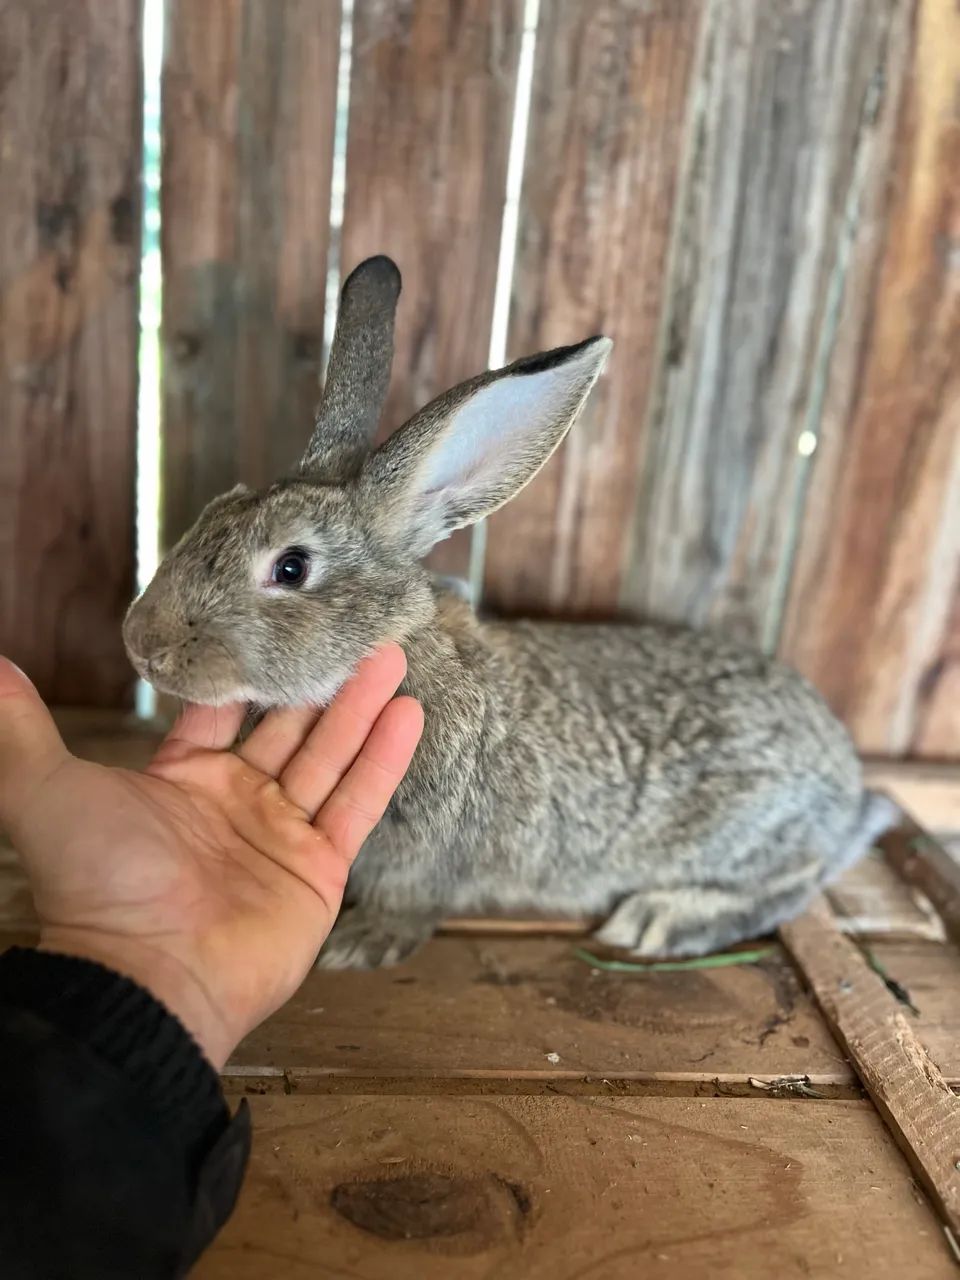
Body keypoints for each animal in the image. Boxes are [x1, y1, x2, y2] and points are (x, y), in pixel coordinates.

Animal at [124, 254, 898, 970]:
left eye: (291, 568)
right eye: (214, 511)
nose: (142, 643)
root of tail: (846, 780)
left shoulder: (429, 858)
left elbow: (411, 907)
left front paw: (356, 945)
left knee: (795, 880)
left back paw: (660, 919)